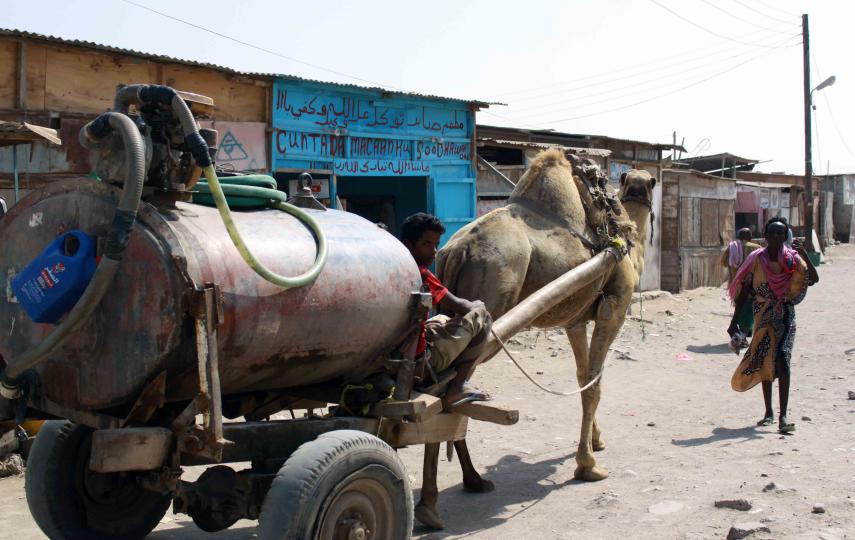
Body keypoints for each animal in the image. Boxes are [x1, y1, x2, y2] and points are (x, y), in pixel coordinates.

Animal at [414, 148, 656, 528]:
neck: (625, 240)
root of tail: (456, 251)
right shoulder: (614, 307)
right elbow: (595, 381)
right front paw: (588, 466)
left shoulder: (574, 319)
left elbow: (583, 378)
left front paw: (596, 442)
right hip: (491, 306)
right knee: (445, 393)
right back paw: (432, 504)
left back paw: (472, 481)